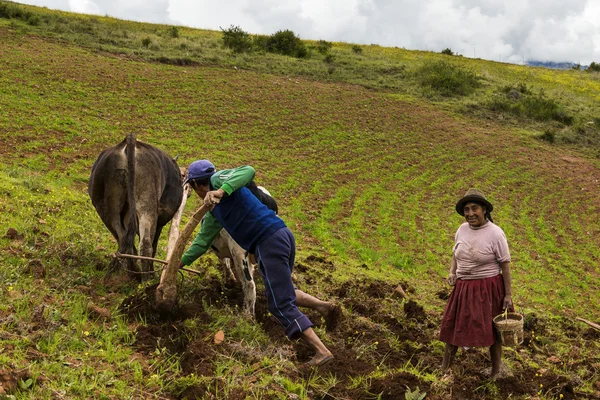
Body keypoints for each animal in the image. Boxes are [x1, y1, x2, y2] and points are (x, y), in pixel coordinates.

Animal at [88, 134, 183, 278]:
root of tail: (129, 141)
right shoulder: (160, 220)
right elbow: (154, 243)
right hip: (147, 205)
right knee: (146, 243)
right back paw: (146, 278)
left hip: (105, 208)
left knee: (122, 238)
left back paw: (132, 272)